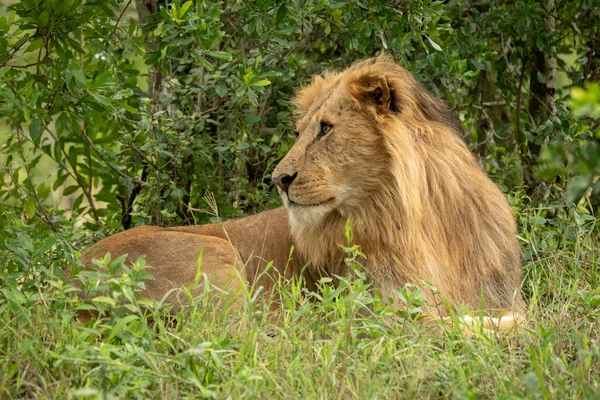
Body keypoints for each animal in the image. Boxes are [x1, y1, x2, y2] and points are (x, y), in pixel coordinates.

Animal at [76, 56, 524, 330]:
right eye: (298, 132)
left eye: (325, 129)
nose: (279, 180)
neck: (418, 221)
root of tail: (64, 285)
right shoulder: (375, 313)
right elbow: (458, 326)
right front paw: (509, 327)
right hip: (213, 256)